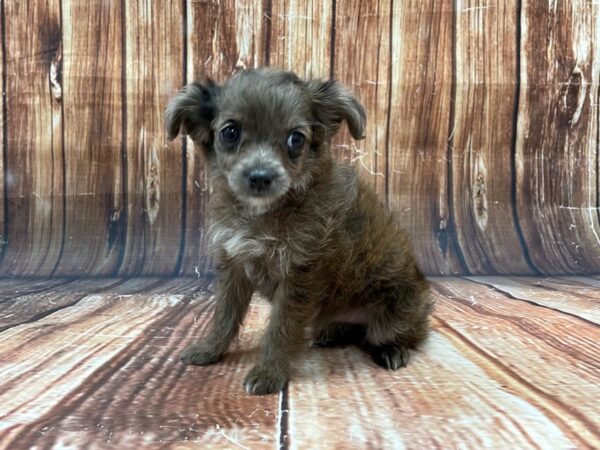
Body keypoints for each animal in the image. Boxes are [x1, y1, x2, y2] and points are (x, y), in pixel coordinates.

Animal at [166, 67, 434, 394]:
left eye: (296, 139)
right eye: (230, 133)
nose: (260, 177)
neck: (264, 211)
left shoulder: (301, 274)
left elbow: (281, 328)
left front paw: (269, 372)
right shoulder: (234, 265)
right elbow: (225, 316)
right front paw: (209, 349)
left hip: (396, 312)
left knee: (403, 335)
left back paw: (393, 350)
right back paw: (331, 333)